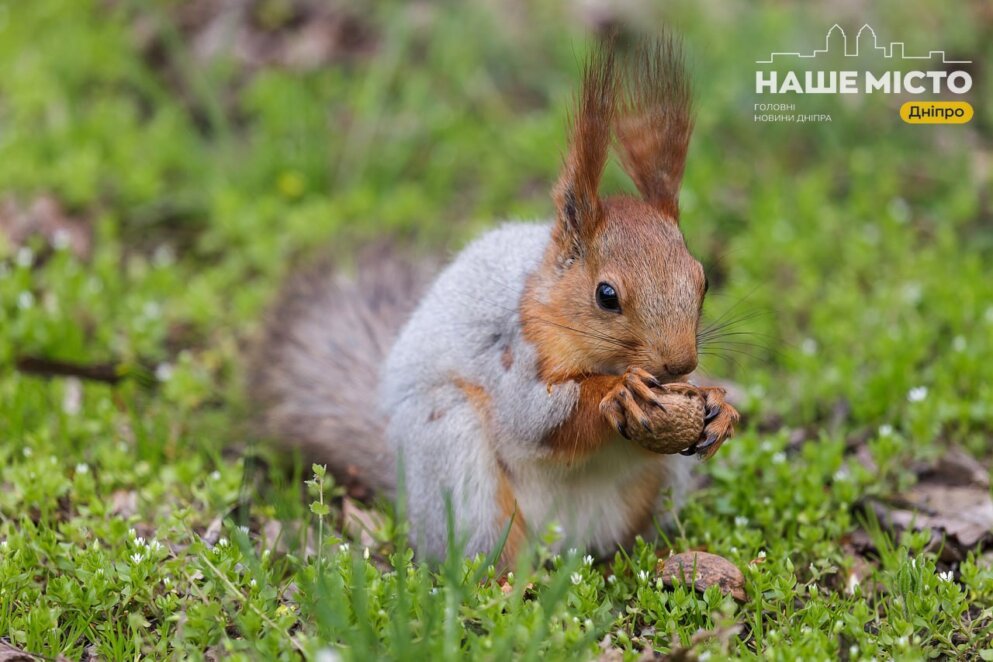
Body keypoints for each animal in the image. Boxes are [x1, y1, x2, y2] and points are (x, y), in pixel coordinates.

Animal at [250, 36, 736, 564]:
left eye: (703, 280)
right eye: (606, 295)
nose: (679, 363)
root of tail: (561, 542)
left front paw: (718, 405)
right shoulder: (513, 351)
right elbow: (532, 415)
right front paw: (618, 391)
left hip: (653, 488)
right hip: (455, 461)